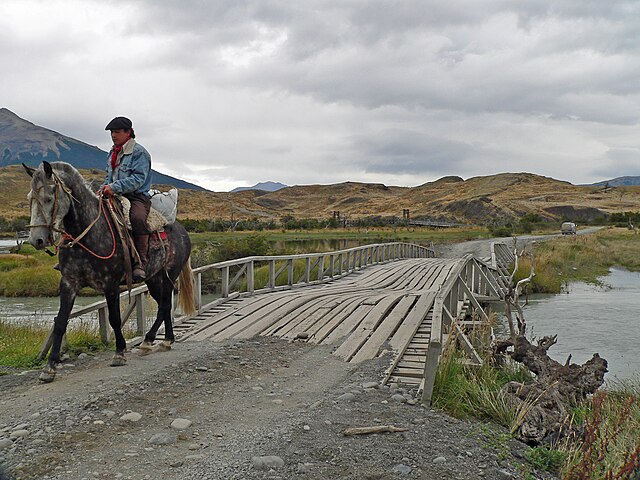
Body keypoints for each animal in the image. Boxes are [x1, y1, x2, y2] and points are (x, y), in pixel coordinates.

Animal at [23, 161, 195, 382]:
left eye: (48, 198)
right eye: (30, 198)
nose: (36, 240)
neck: (88, 232)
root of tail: (182, 230)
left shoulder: (110, 284)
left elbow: (114, 319)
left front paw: (119, 353)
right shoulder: (69, 283)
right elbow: (60, 322)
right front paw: (49, 367)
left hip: (168, 275)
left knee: (165, 303)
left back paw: (150, 340)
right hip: (153, 278)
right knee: (163, 304)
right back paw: (164, 340)